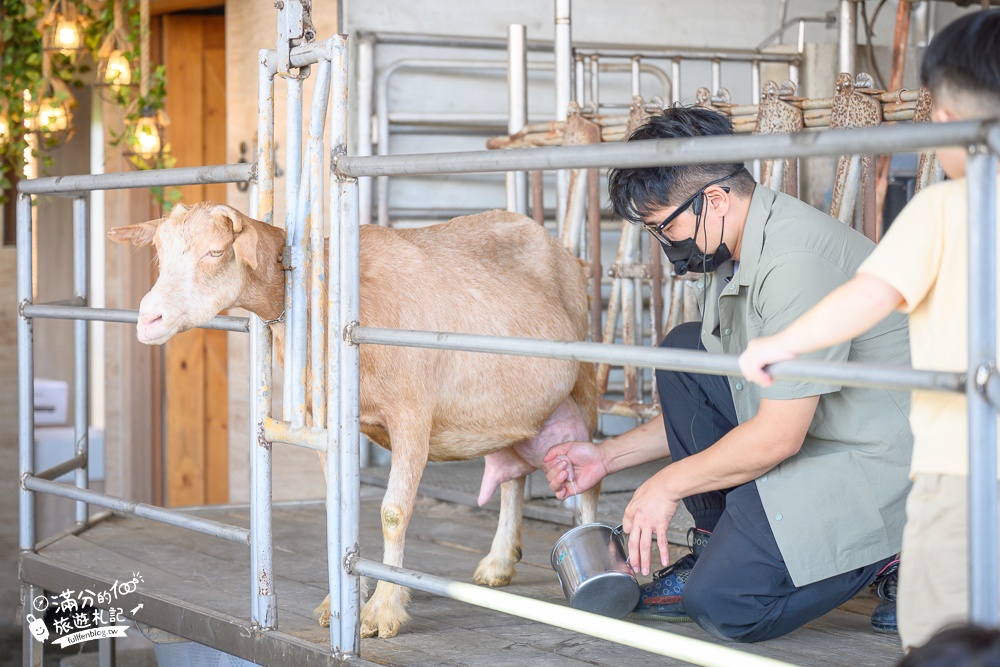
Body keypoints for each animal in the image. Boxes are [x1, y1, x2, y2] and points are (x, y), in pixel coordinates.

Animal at [107, 202, 600, 636]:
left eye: (214, 251)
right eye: (160, 252)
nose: (148, 319)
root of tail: (558, 247)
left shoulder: (412, 414)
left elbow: (393, 512)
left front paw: (382, 611)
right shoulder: (331, 422)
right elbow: (338, 507)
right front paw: (339, 602)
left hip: (585, 380)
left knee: (589, 469)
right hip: (513, 407)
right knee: (513, 476)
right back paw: (499, 562)